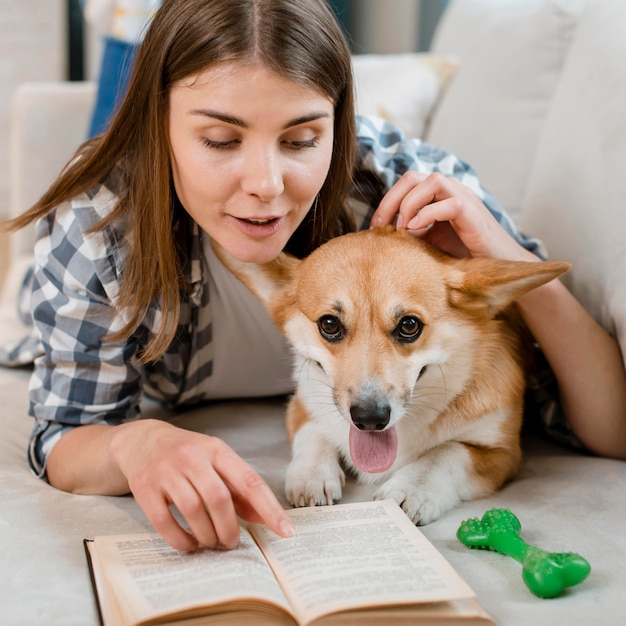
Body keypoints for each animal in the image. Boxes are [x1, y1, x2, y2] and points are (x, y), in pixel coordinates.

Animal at [212, 225, 568, 520]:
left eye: (409, 325)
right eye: (329, 324)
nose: (370, 418)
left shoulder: (503, 453)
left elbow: (448, 451)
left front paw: (411, 488)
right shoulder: (303, 402)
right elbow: (314, 430)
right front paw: (312, 475)